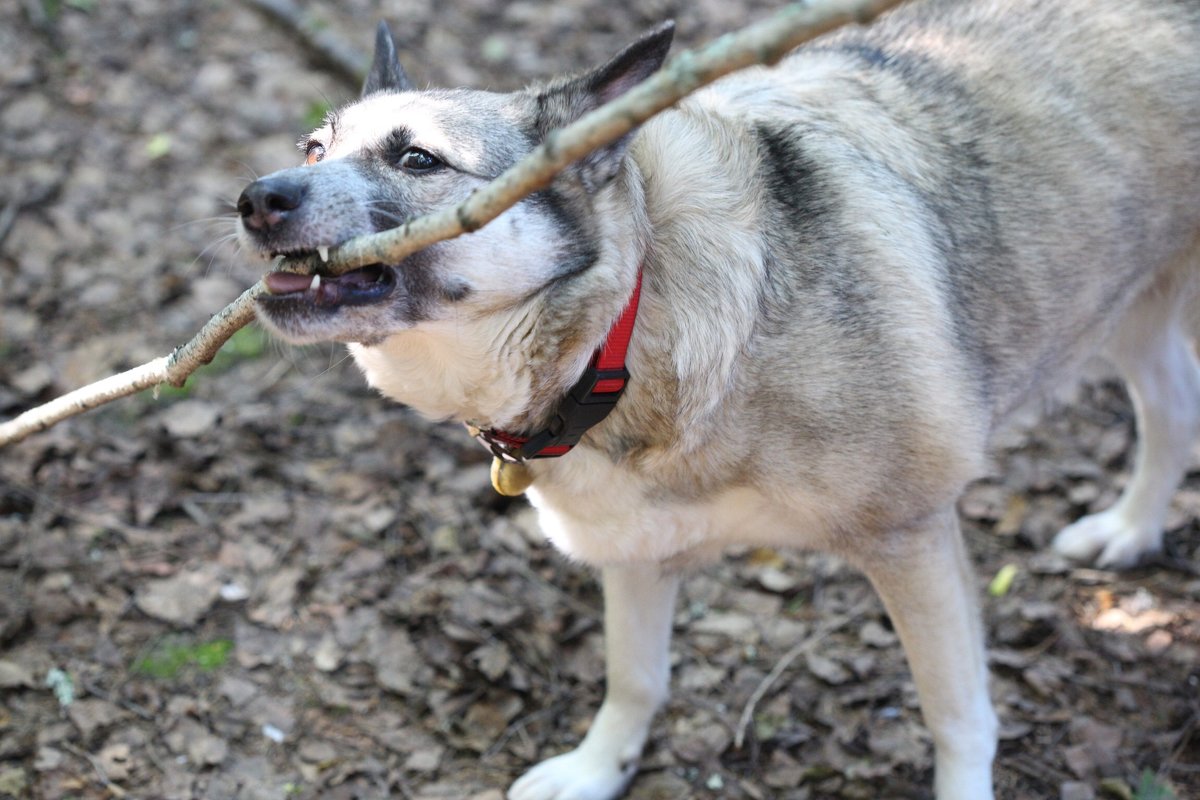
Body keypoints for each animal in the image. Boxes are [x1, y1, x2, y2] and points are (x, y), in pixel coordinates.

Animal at [234, 3, 1200, 796]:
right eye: (315, 149)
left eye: (416, 158)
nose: (255, 198)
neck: (625, 325)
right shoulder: (634, 548)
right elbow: (635, 680)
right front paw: (599, 769)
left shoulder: (912, 540)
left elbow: (956, 716)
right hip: (1127, 315)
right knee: (1172, 409)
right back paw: (1131, 529)